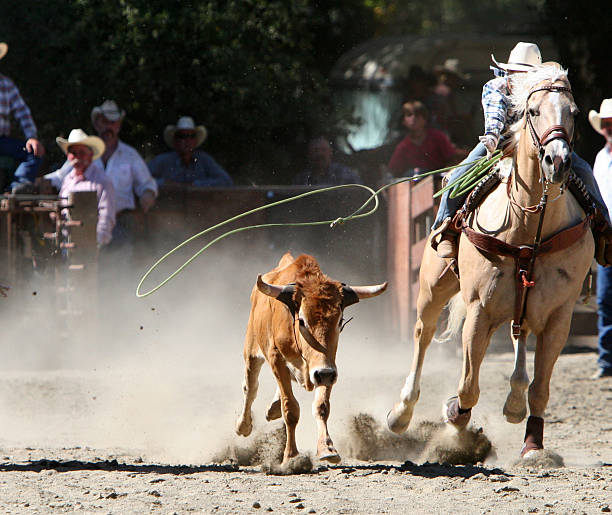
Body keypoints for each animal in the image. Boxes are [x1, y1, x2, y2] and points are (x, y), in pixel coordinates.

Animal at [388, 63, 592, 456]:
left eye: (573, 113)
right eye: (532, 111)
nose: (557, 161)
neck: (528, 228)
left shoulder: (559, 317)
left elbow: (540, 390)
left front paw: (533, 446)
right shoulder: (479, 309)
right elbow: (468, 387)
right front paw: (454, 413)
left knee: (520, 345)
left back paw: (514, 403)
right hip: (432, 288)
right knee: (423, 334)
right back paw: (401, 412)